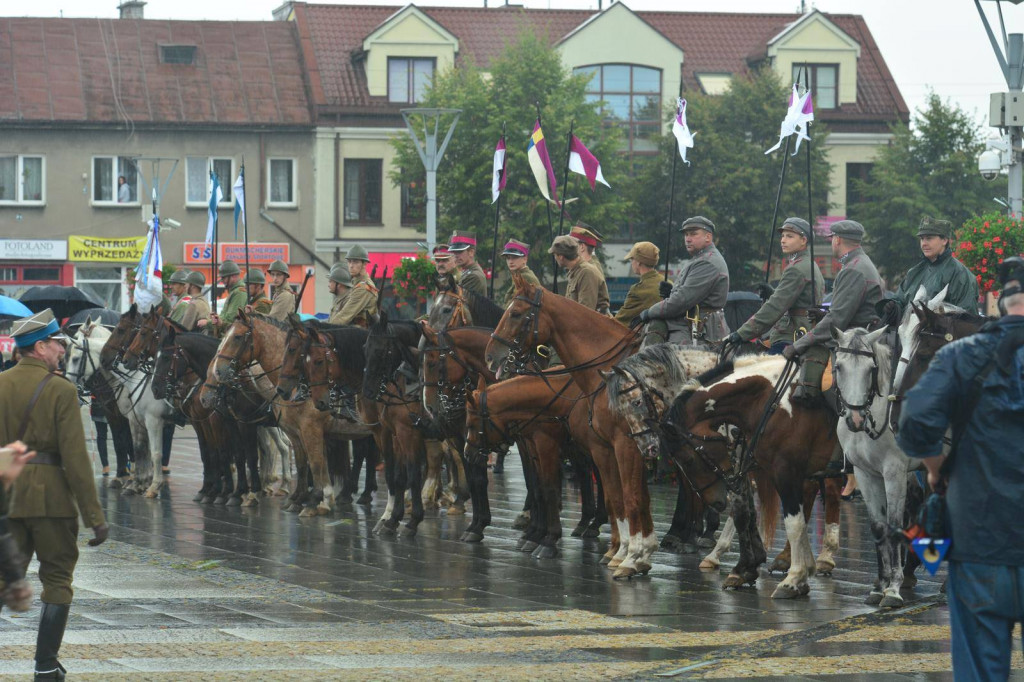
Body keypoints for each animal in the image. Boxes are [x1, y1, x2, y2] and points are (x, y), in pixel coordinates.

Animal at [66, 315, 175, 497]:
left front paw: (135, 480)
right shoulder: (115, 415)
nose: (71, 384)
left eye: (74, 358)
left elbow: (133, 446)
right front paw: (124, 477)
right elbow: (121, 443)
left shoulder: (132, 417)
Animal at [485, 274, 655, 577]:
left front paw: (631, 556)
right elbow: (616, 498)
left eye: (515, 313)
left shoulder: (624, 444)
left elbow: (629, 497)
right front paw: (630, 552)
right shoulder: (602, 447)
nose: (491, 356)